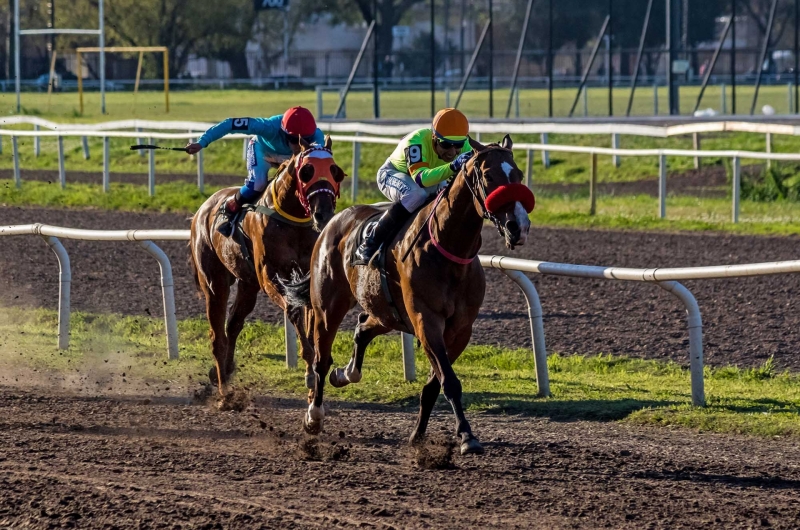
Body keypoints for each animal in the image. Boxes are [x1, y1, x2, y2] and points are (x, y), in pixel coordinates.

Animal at [193, 138, 346, 394]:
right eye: (306, 172)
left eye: (335, 172)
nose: (323, 214)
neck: (293, 221)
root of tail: (202, 210)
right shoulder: (269, 275)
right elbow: (293, 310)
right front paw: (310, 366)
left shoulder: (306, 276)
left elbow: (311, 316)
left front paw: (313, 369)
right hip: (215, 281)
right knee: (217, 336)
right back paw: (223, 387)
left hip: (248, 285)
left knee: (233, 325)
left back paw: (223, 371)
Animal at [282, 136, 532, 454]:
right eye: (488, 176)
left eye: (519, 175)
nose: (518, 226)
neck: (448, 250)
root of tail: (333, 221)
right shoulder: (427, 321)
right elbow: (449, 381)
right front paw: (466, 436)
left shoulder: (460, 329)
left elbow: (434, 384)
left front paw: (419, 435)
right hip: (328, 308)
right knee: (321, 360)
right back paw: (314, 416)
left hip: (386, 312)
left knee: (362, 328)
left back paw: (346, 373)